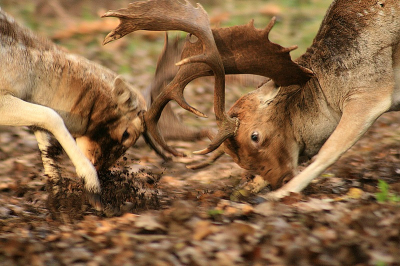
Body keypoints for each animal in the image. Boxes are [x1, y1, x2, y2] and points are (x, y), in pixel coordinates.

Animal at [103, 0, 400, 201]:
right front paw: (246, 190)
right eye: (238, 159)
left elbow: (330, 149)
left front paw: (280, 195)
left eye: (255, 136)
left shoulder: (370, 91)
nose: (281, 180)